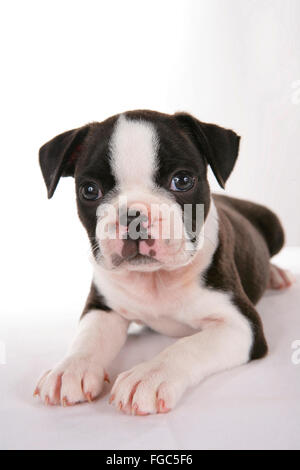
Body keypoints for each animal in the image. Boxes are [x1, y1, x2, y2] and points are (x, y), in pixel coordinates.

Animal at [34, 110, 292, 414]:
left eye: (182, 181)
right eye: (89, 190)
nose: (133, 215)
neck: (155, 278)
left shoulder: (240, 325)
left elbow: (188, 346)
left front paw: (149, 376)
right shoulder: (102, 306)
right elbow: (88, 335)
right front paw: (70, 368)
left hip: (274, 225)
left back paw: (276, 274)